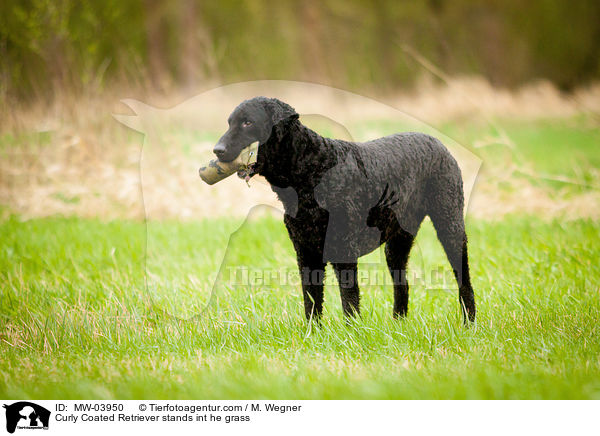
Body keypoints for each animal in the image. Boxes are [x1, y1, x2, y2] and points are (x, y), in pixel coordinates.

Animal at [213, 97, 476, 322]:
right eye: (229, 122)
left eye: (248, 122)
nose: (217, 150)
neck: (311, 171)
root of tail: (437, 142)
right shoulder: (306, 251)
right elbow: (311, 300)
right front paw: (312, 335)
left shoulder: (344, 249)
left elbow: (349, 299)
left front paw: (352, 333)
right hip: (397, 242)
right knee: (402, 284)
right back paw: (398, 323)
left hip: (449, 224)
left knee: (464, 279)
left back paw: (469, 322)